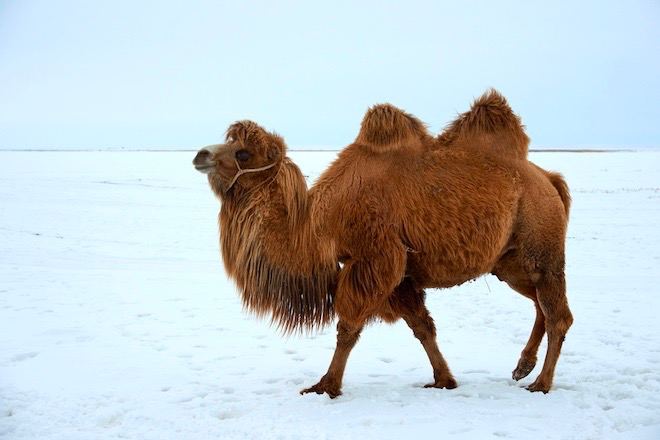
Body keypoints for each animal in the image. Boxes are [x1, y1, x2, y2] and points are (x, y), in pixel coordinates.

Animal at [192, 88, 572, 396]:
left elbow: (348, 327)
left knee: (558, 315)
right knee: (540, 304)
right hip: (510, 262)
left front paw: (325, 386)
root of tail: (549, 179)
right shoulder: (401, 272)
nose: (200, 155)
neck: (318, 224)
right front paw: (444, 379)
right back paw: (522, 367)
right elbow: (422, 327)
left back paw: (541, 383)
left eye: (243, 153)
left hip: (540, 244)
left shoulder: (376, 257)